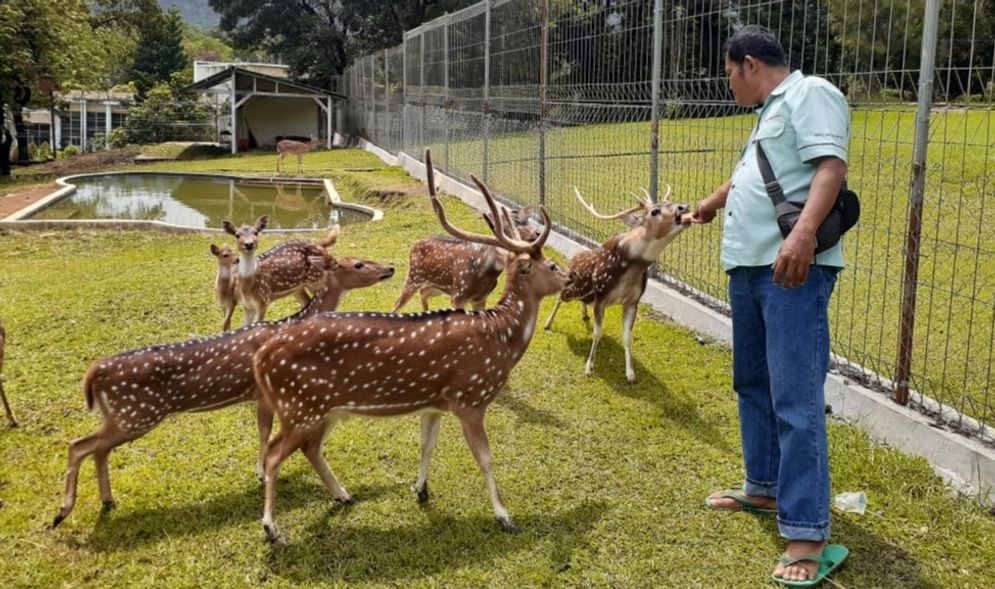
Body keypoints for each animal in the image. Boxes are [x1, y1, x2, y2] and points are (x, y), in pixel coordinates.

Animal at [49, 241, 392, 524]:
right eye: (358, 264)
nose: (389, 268)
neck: (289, 324)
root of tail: (93, 373)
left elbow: (263, 432)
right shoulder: (264, 394)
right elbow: (264, 432)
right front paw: (260, 472)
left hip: (123, 416)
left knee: (98, 450)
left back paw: (107, 501)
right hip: (135, 413)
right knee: (79, 445)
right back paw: (63, 510)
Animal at [392, 204, 540, 312]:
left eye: (526, 221)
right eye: (514, 222)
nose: (536, 234)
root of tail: (415, 245)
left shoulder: (481, 298)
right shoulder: (458, 297)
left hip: (437, 287)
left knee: (423, 292)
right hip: (413, 277)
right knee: (397, 303)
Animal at [548, 186, 688, 384]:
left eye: (671, 201)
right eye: (654, 211)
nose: (683, 207)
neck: (632, 269)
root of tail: (573, 257)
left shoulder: (633, 301)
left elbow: (627, 337)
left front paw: (631, 374)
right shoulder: (601, 296)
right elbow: (597, 333)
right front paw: (589, 367)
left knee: (581, 301)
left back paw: (584, 315)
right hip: (569, 289)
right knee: (559, 297)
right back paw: (548, 323)